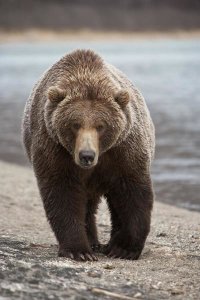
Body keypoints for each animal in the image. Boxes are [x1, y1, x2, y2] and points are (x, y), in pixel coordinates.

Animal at [22, 48, 155, 260]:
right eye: (75, 124)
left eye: (101, 126)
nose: (87, 155)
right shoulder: (54, 148)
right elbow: (62, 193)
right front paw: (79, 250)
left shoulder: (123, 150)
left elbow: (132, 192)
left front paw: (123, 248)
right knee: (87, 205)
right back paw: (93, 243)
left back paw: (108, 244)